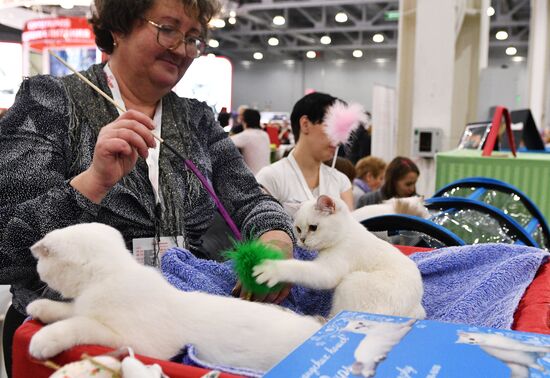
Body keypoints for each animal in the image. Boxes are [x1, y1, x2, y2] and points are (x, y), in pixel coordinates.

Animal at [27, 223, 324, 370]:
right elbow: (73, 311)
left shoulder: (139, 344)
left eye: (41, 264)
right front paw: (42, 307)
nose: (37, 274)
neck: (107, 278)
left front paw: (45, 339)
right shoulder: (84, 306)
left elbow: (82, 325)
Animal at [254, 195, 426, 318]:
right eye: (298, 229)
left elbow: (297, 267)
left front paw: (273, 269)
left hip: (349, 283)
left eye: (313, 228)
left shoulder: (327, 271)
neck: (345, 233)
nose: (302, 240)